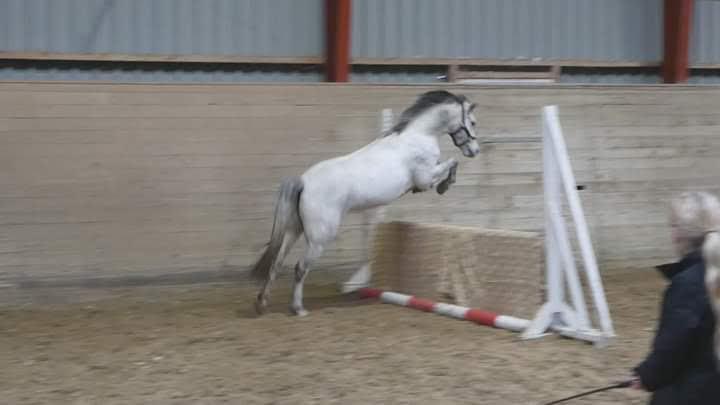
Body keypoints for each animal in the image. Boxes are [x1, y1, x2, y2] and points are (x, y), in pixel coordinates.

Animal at [249, 90, 481, 316]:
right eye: (472, 122)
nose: (475, 151)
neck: (419, 135)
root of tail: (304, 182)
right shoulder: (425, 179)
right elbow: (451, 163)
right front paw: (445, 185)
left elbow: (449, 163)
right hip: (319, 239)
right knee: (300, 268)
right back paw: (297, 308)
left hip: (294, 230)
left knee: (277, 263)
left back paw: (262, 304)